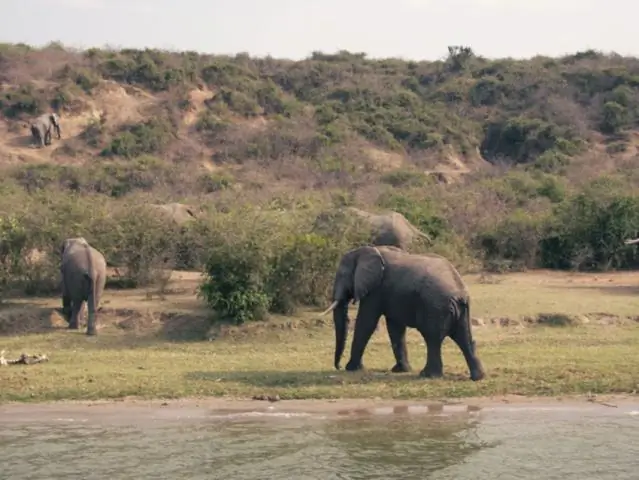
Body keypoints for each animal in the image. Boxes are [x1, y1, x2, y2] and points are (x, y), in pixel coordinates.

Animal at [320, 246, 484, 380]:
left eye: (342, 275)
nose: (339, 367)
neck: (364, 251)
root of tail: (460, 294)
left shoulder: (376, 289)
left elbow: (366, 323)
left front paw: (351, 368)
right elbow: (395, 327)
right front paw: (400, 370)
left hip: (435, 307)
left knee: (432, 338)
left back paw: (428, 375)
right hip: (461, 310)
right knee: (465, 338)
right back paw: (477, 377)